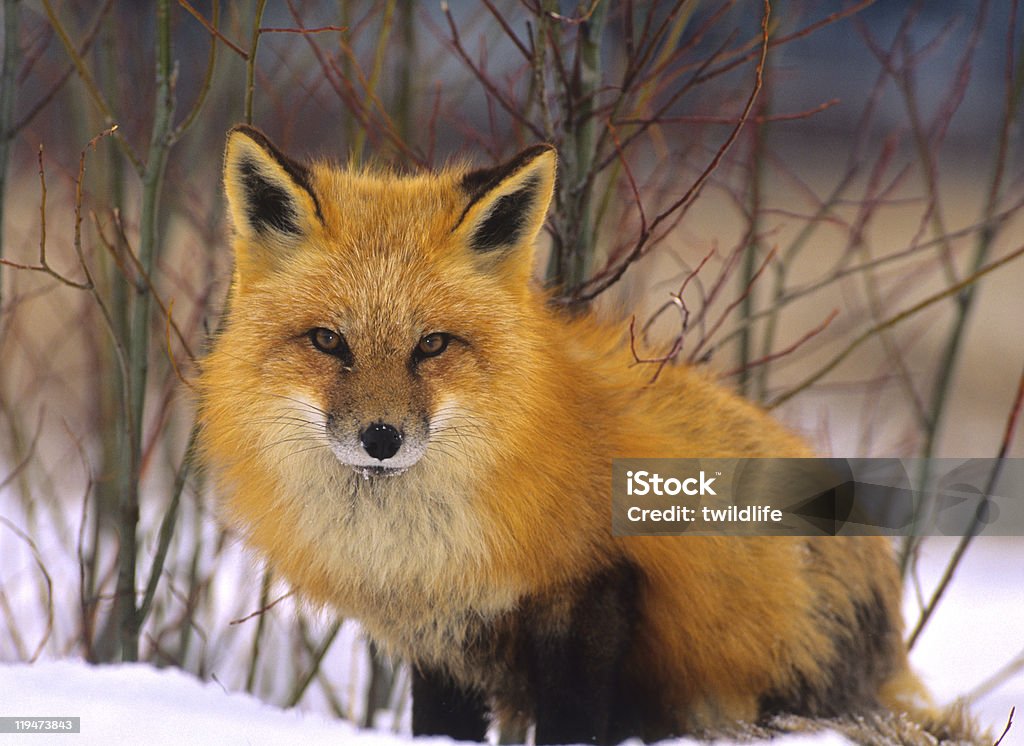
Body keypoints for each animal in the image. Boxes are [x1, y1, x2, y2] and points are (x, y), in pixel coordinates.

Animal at [197, 125, 974, 740]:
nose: (381, 438)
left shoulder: (595, 587)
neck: (419, 543)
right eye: (328, 341)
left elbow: (573, 718)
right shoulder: (444, 636)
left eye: (432, 345)